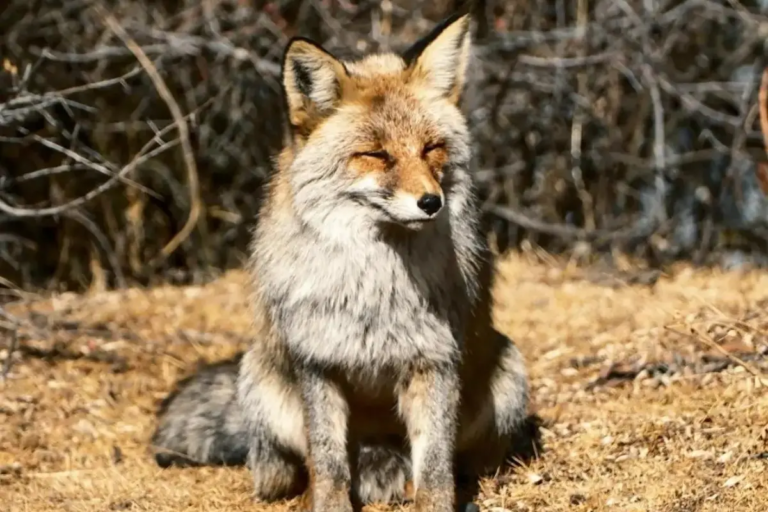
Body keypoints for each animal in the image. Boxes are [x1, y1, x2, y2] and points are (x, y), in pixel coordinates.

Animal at [151, 11, 529, 512]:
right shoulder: (317, 361)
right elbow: (328, 463)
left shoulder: (436, 360)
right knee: (292, 470)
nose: (432, 203)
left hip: (508, 376)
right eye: (376, 154)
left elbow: (434, 468)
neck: (377, 286)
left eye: (431, 148)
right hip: (260, 383)